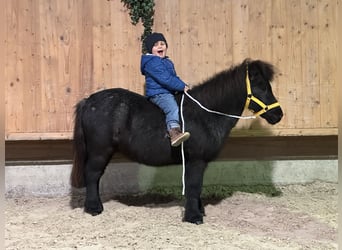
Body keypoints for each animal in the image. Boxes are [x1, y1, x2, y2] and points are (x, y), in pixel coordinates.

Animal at [70, 58, 284, 225]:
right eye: (262, 86)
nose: (278, 114)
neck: (205, 114)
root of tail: (88, 101)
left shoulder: (197, 162)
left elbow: (196, 186)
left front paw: (199, 210)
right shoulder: (196, 160)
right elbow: (194, 185)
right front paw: (194, 216)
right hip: (100, 151)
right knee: (92, 175)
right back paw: (93, 208)